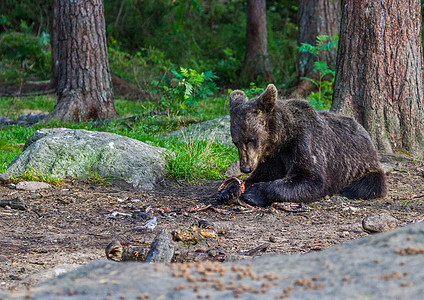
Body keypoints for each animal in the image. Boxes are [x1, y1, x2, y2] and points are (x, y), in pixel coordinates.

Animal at [219, 84, 388, 206]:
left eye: (251, 139)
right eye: (236, 141)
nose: (245, 167)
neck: (282, 139)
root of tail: (363, 129)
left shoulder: (304, 145)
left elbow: (311, 179)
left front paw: (254, 193)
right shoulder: (273, 157)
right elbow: (262, 174)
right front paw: (229, 191)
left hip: (362, 164)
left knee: (367, 184)